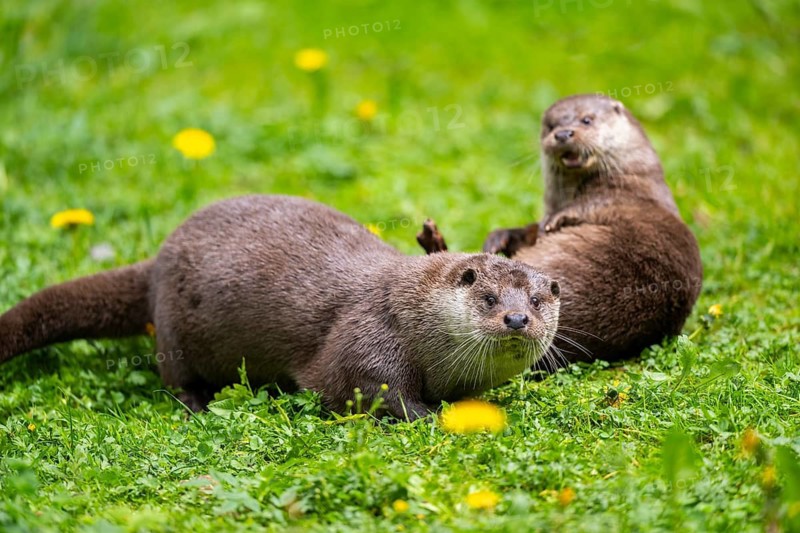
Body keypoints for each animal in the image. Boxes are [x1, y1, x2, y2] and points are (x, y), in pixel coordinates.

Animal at [0, 195, 560, 419]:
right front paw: (427, 415)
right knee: (175, 377)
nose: (516, 319)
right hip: (175, 330)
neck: (408, 310)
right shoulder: (368, 336)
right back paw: (198, 404)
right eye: (489, 297)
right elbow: (369, 387)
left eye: (536, 300)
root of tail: (158, 258)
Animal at [434, 95, 701, 369]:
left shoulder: (618, 198)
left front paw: (558, 218)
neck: (632, 180)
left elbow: (585, 208)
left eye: (587, 119)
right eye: (551, 126)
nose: (563, 134)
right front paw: (499, 238)